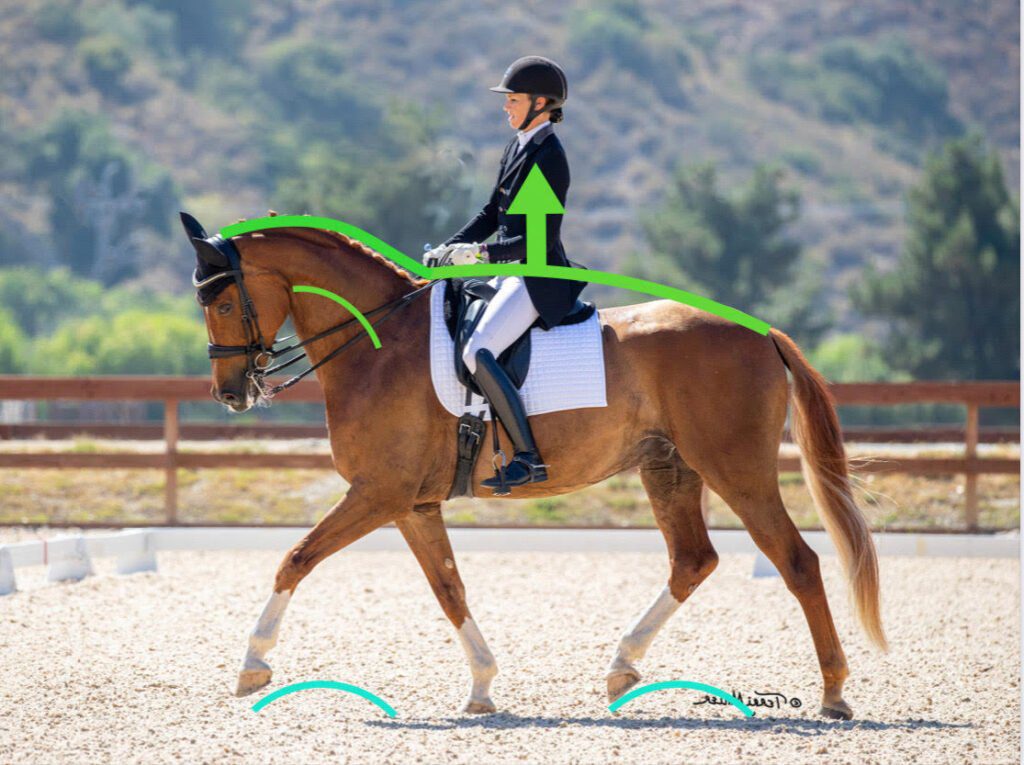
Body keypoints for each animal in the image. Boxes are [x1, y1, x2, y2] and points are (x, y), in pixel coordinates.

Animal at [184, 215, 887, 720]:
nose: (229, 394)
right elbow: (448, 588)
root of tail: (761, 331)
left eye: (222, 306)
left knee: (797, 561)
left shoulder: (377, 493)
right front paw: (482, 687)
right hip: (669, 468)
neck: (377, 345)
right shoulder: (411, 502)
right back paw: (621, 668)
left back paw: (833, 693)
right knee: (693, 560)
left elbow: (295, 558)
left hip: (735, 468)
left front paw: (252, 665)